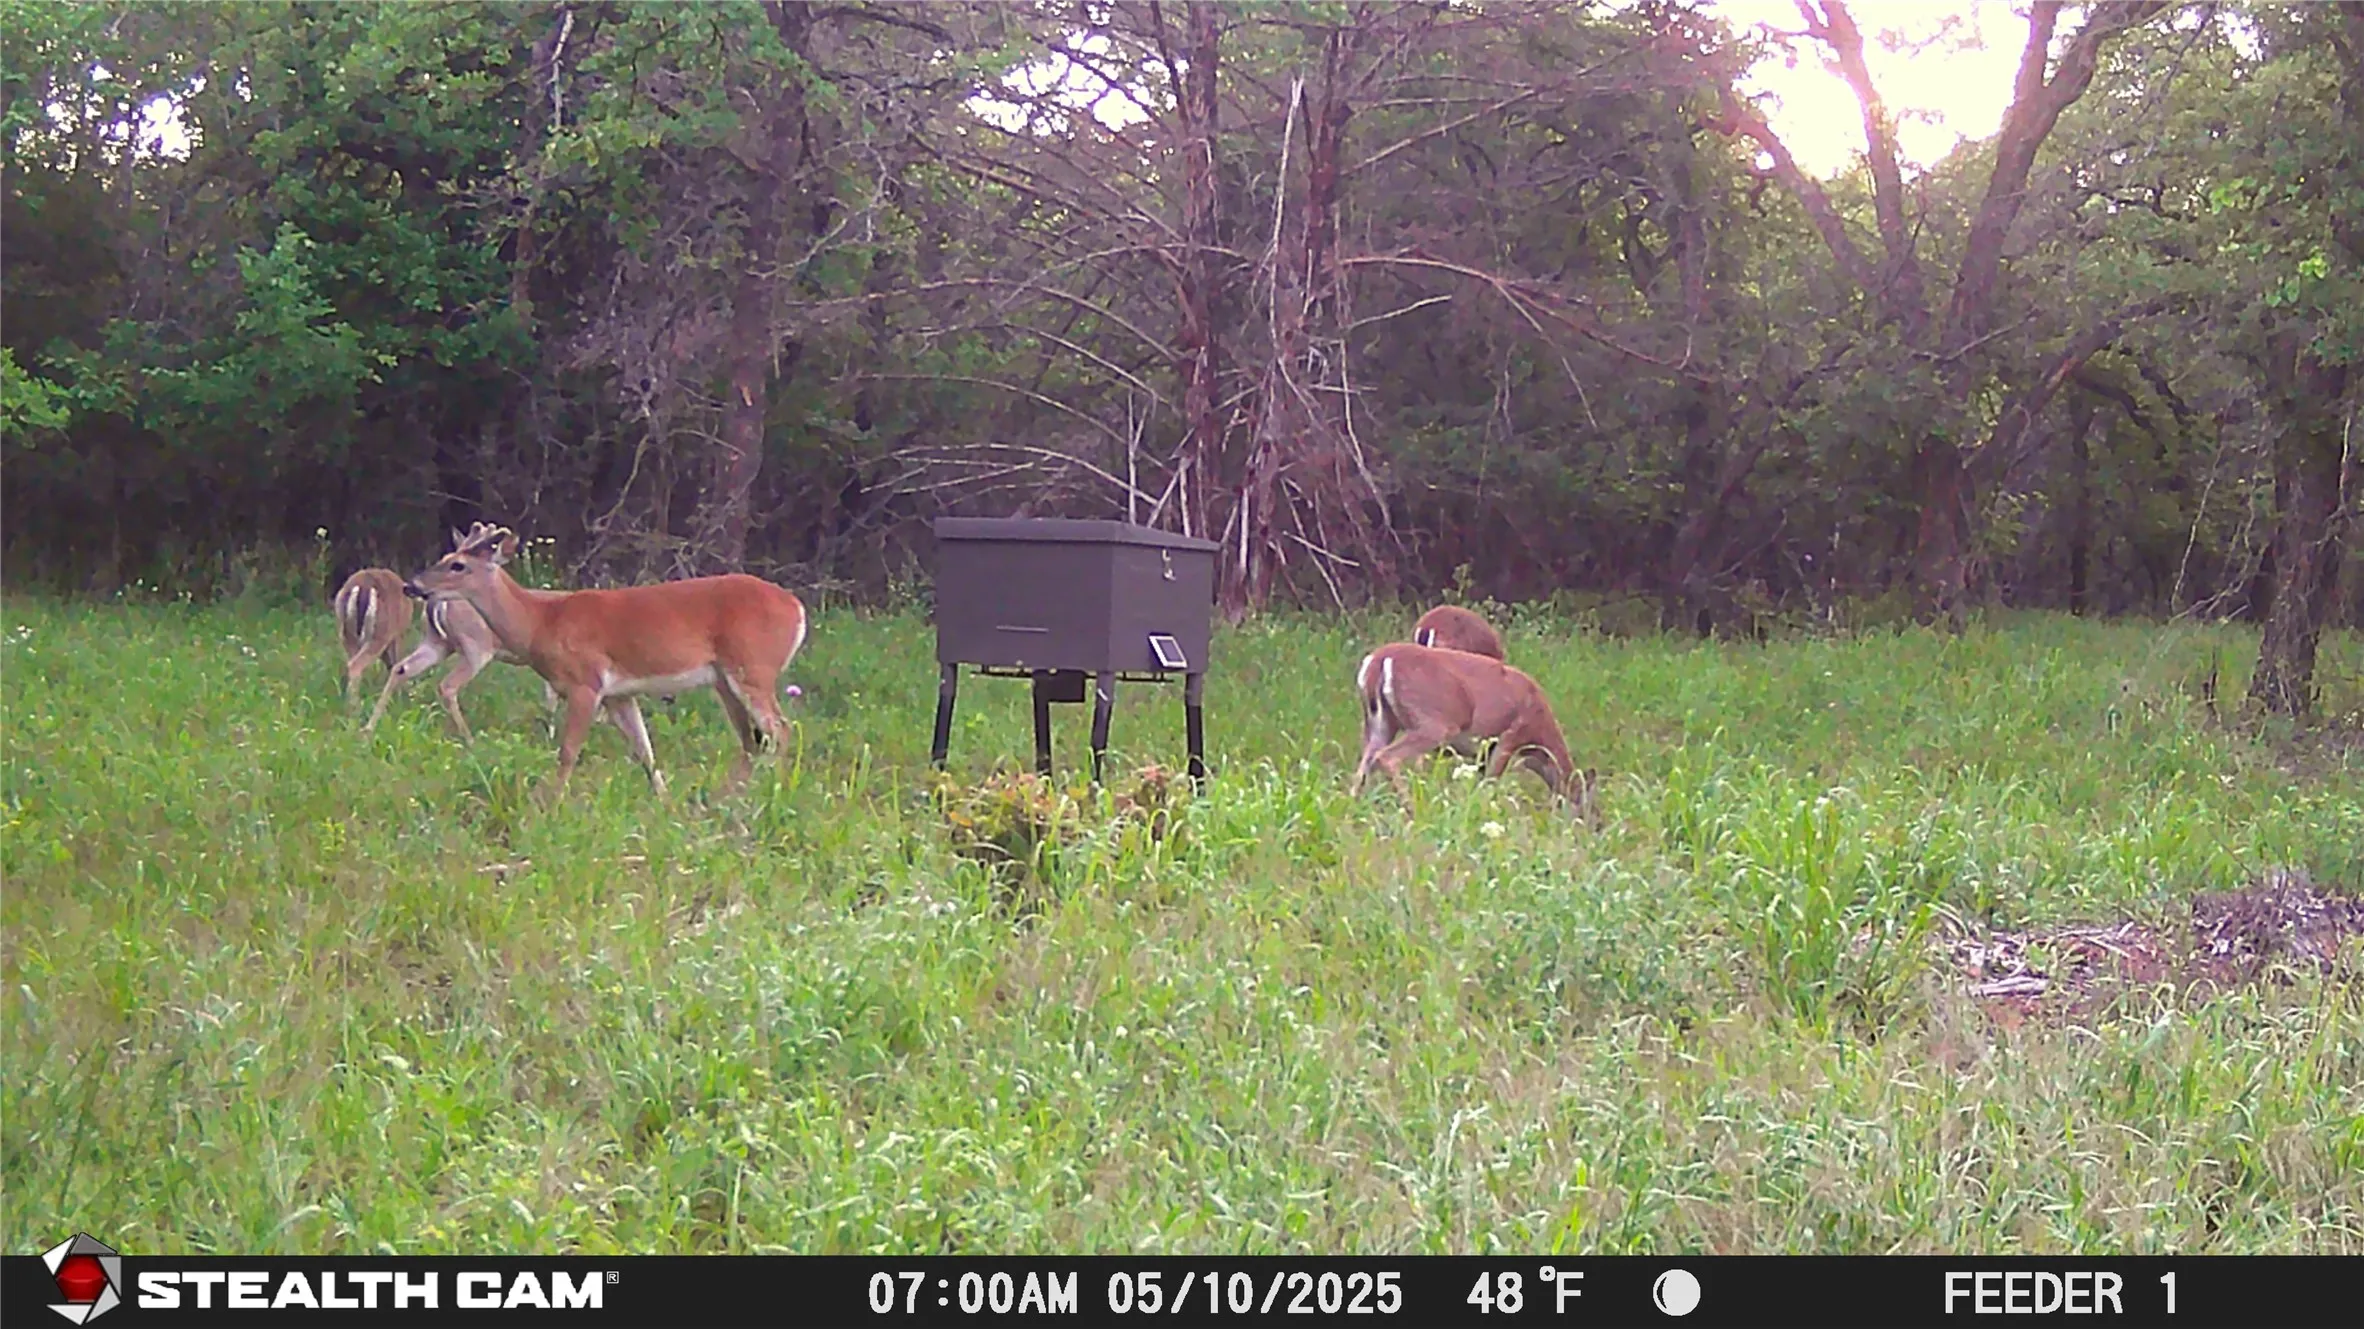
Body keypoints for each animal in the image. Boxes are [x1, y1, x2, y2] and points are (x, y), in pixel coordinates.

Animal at [404, 523, 808, 800]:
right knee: (752, 740)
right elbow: (645, 753)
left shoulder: (586, 682)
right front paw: (665, 806)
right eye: (443, 558)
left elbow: (567, 753)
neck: (541, 623)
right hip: (724, 679)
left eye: (457, 565)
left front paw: (549, 806)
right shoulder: (619, 694)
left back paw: (767, 792)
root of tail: (797, 608)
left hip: (753, 666)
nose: (412, 585)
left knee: (780, 729)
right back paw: (730, 797)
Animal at [1351, 642, 1591, 817]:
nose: (1594, 825)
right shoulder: (1511, 735)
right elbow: (1491, 782)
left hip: (1379, 723)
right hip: (1434, 723)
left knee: (1364, 766)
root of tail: (1380, 660)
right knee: (1386, 757)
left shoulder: (1485, 750)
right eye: (1584, 797)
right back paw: (1413, 809)